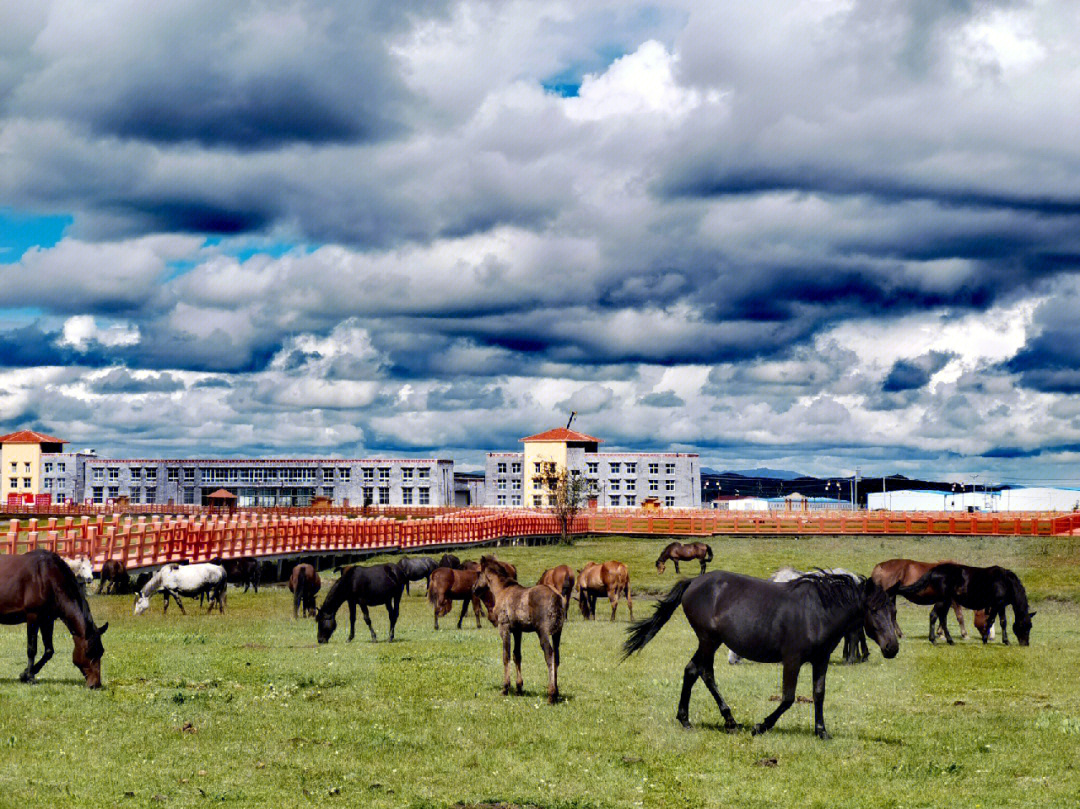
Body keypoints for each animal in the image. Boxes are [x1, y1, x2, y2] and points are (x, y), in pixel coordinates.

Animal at [0, 546, 109, 686]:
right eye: (88, 652)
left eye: (101, 652)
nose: (95, 684)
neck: (47, 577)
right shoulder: (33, 617)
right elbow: (32, 649)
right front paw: (28, 676)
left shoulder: (47, 620)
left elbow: (49, 650)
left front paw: (26, 674)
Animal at [477, 557, 570, 699]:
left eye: (478, 573)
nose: (474, 589)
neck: (502, 590)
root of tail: (557, 597)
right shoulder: (517, 631)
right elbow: (517, 655)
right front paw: (519, 687)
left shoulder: (504, 628)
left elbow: (506, 656)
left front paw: (505, 688)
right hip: (557, 632)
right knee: (556, 657)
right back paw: (557, 691)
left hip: (543, 632)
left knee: (549, 654)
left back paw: (551, 693)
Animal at [898, 561, 1032, 643]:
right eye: (1024, 626)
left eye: (1030, 626)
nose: (1025, 644)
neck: (1005, 581)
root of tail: (935, 570)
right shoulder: (997, 604)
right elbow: (993, 621)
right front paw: (989, 640)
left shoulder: (999, 605)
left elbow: (1000, 621)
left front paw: (1000, 640)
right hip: (942, 600)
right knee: (934, 615)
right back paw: (934, 640)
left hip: (946, 601)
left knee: (942, 618)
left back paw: (949, 640)